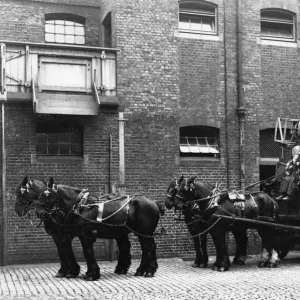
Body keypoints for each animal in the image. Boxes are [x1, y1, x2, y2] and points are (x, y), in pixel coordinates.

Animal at [15, 176, 165, 278]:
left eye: (47, 195)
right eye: (39, 195)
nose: (40, 212)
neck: (79, 206)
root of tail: (154, 202)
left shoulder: (79, 234)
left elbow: (84, 252)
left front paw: (90, 273)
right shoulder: (63, 235)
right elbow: (65, 252)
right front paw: (71, 271)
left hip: (145, 231)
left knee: (149, 247)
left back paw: (149, 270)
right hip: (132, 232)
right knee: (140, 247)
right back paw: (136, 270)